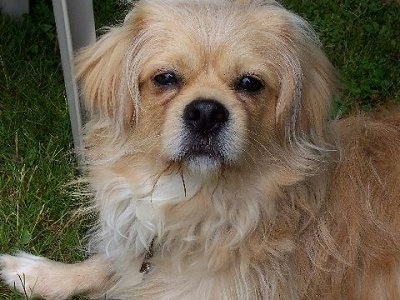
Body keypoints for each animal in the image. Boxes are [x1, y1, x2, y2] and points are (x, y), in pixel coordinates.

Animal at [0, 0, 400, 298]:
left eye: (250, 83)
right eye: (165, 78)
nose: (206, 112)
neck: (196, 206)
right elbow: (111, 261)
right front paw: (32, 273)